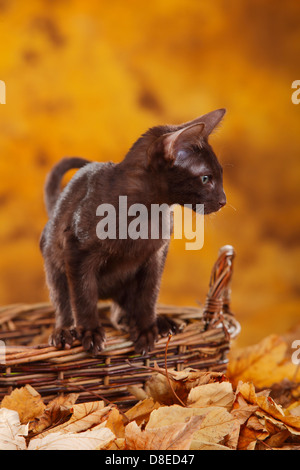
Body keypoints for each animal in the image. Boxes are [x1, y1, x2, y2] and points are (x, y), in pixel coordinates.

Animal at [40, 107, 227, 356]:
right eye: (206, 178)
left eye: (220, 176)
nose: (224, 201)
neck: (144, 215)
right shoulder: (78, 252)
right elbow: (83, 296)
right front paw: (90, 332)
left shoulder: (156, 256)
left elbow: (148, 296)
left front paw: (148, 329)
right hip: (55, 262)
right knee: (63, 302)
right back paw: (64, 332)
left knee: (123, 310)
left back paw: (161, 323)